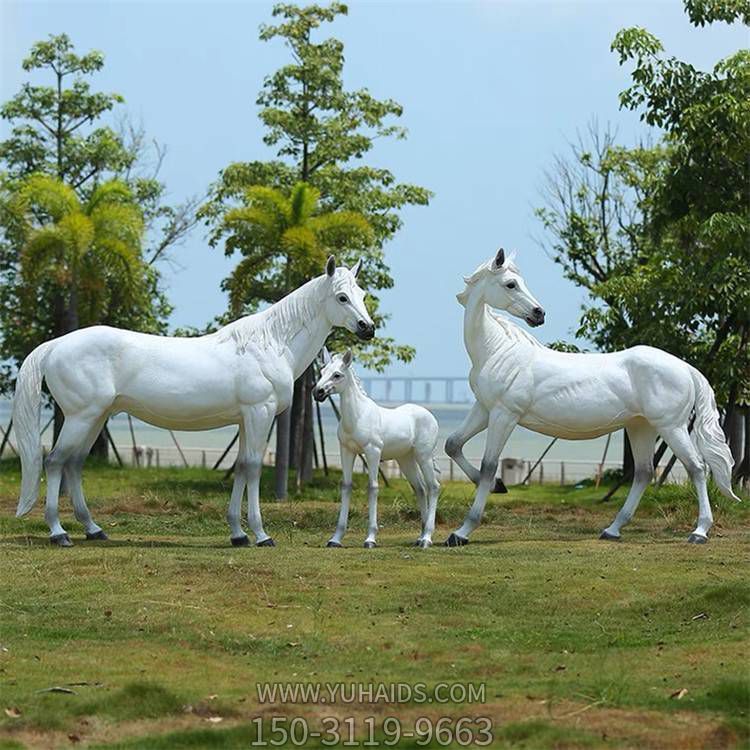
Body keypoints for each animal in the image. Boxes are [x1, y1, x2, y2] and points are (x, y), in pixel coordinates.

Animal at [11, 258, 376, 548]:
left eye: (362, 295)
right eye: (342, 297)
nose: (368, 328)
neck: (270, 343)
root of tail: (57, 345)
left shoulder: (246, 419)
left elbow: (241, 467)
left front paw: (238, 534)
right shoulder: (260, 413)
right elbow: (254, 468)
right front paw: (261, 535)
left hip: (96, 417)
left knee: (74, 464)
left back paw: (94, 529)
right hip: (80, 417)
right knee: (55, 462)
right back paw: (59, 534)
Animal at [316, 350, 444, 548]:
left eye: (337, 375)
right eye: (322, 372)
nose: (317, 392)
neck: (358, 416)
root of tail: (431, 416)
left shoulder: (372, 452)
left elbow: (373, 487)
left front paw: (370, 538)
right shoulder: (347, 451)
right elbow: (346, 486)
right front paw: (335, 539)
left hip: (424, 456)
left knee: (433, 487)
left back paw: (427, 539)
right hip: (406, 460)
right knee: (420, 489)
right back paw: (420, 536)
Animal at [446, 250, 740, 548]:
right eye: (510, 284)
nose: (539, 313)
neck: (498, 351)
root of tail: (686, 368)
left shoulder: (504, 415)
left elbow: (488, 466)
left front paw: (461, 532)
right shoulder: (484, 410)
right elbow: (452, 445)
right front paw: (499, 485)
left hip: (672, 427)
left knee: (696, 468)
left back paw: (699, 532)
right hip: (641, 427)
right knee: (644, 472)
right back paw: (612, 529)